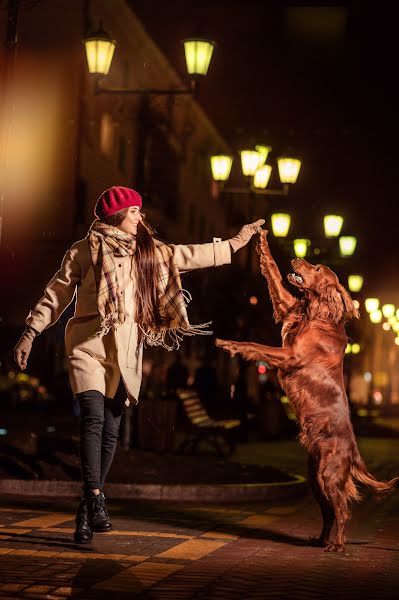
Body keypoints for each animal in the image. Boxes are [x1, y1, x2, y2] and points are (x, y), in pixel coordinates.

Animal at [217, 230, 398, 552]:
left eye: (316, 268)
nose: (298, 257)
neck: (317, 313)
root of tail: (354, 452)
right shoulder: (287, 308)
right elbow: (273, 272)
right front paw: (260, 238)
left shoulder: (291, 356)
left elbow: (254, 344)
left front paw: (230, 344)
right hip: (316, 480)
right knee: (328, 512)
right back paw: (321, 539)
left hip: (329, 474)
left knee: (342, 510)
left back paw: (338, 545)